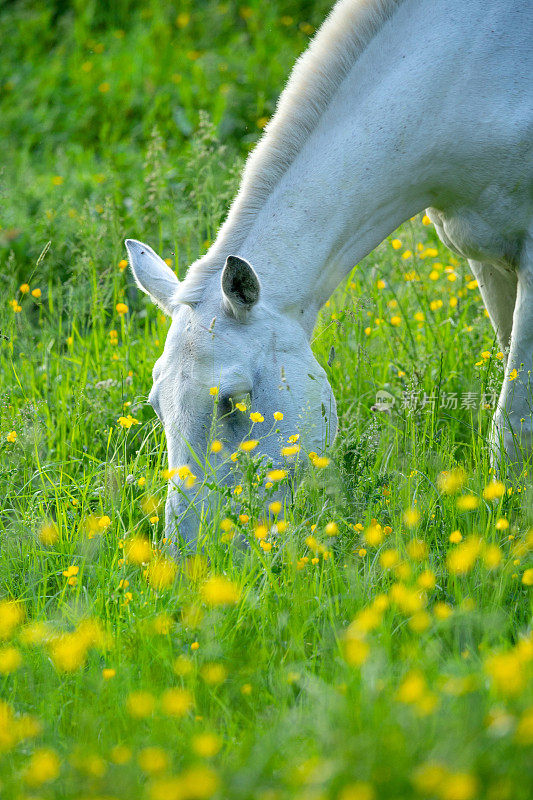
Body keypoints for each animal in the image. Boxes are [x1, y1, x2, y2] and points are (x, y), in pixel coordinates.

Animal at [125, 0, 532, 548]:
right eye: (156, 404)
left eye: (235, 401)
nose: (189, 553)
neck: (468, 70)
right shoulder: (485, 254)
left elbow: (512, 428)